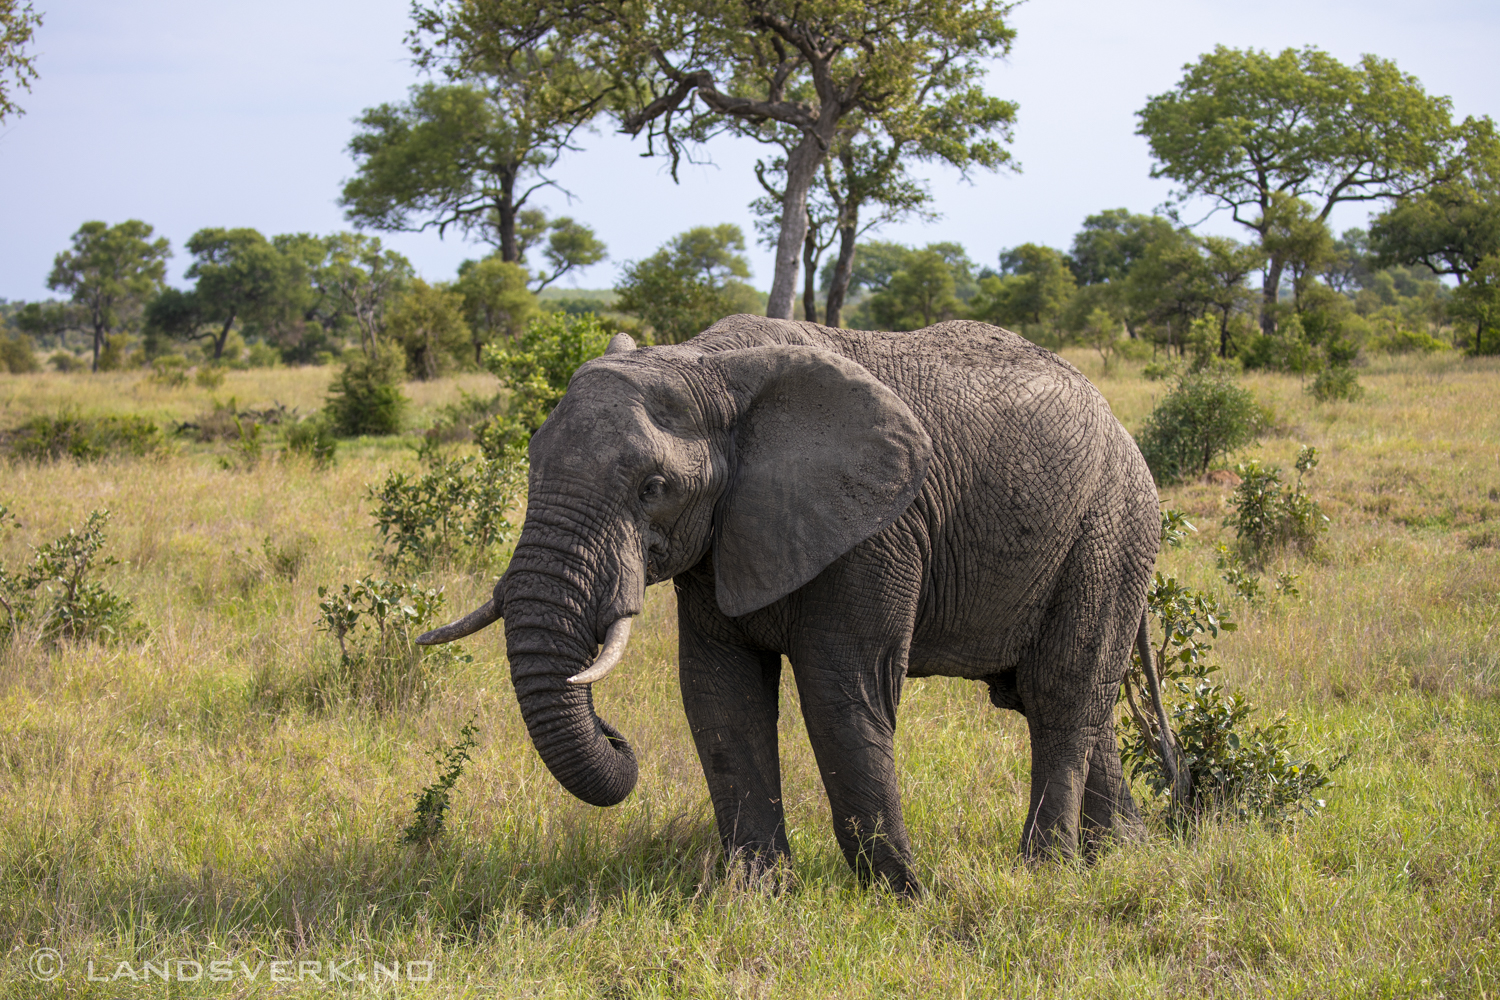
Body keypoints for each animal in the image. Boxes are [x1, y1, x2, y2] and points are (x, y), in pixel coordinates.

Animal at [423, 313, 1158, 893]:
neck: (708, 365)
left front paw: (908, 895)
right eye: (530, 462)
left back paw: (1046, 872)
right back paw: (1121, 855)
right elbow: (719, 696)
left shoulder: (877, 531)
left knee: (1061, 693)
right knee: (1062, 701)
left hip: (1110, 529)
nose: (612, 730)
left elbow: (842, 694)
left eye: (653, 488)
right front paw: (757, 896)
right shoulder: (724, 535)